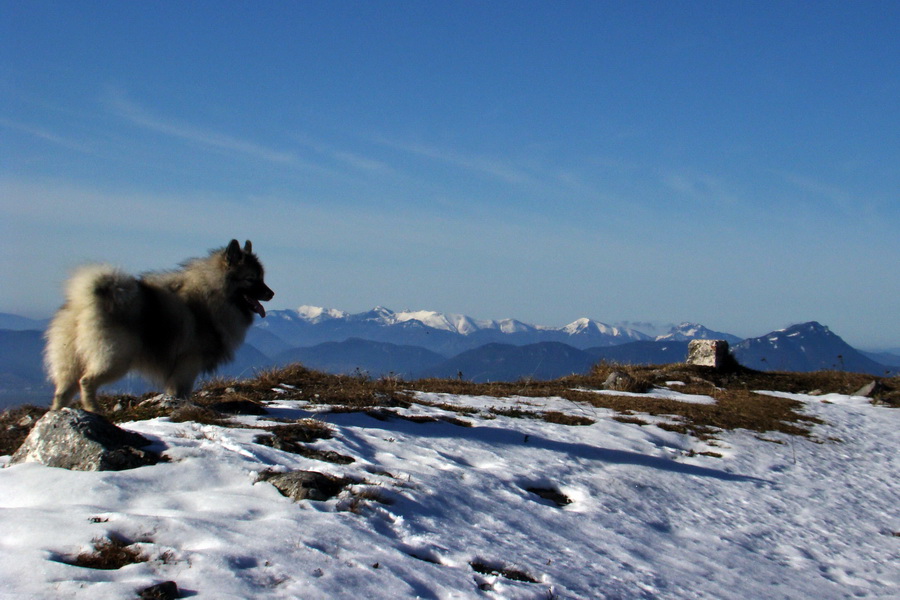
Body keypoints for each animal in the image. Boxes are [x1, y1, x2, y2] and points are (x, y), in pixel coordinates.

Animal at [44, 239, 274, 412]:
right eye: (251, 279)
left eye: (262, 277)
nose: (271, 293)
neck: (214, 293)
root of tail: (85, 300)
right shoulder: (188, 363)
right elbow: (181, 391)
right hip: (115, 359)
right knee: (86, 382)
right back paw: (93, 410)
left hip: (71, 361)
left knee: (63, 391)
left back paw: (57, 414)